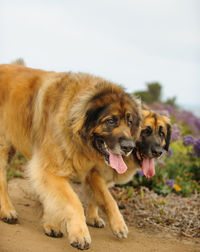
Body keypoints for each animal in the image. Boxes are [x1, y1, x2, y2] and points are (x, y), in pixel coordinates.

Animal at [0, 64, 141, 249]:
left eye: (129, 122)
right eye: (111, 121)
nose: (129, 147)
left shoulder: (90, 174)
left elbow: (108, 199)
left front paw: (118, 224)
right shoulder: (49, 170)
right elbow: (73, 202)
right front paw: (79, 234)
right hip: (4, 146)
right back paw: (7, 210)